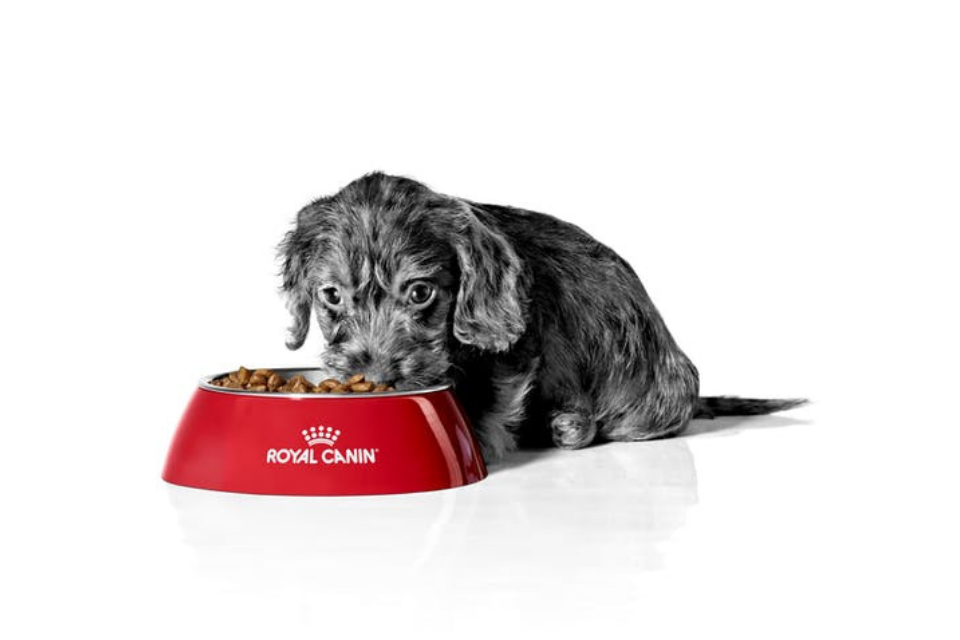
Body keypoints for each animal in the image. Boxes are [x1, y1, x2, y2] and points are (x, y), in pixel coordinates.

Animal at [278, 172, 804, 462]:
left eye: (420, 292)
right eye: (331, 296)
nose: (376, 379)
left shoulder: (517, 352)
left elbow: (493, 401)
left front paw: (479, 444)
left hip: (660, 402)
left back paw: (570, 424)